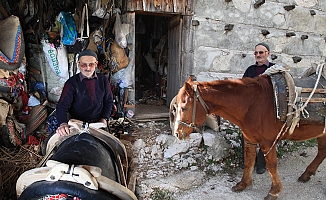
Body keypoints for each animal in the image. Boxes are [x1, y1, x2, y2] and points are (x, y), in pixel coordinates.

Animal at [174, 76, 326, 199]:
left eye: (184, 108)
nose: (177, 133)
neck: (253, 104)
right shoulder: (250, 140)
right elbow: (248, 162)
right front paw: (243, 184)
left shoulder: (267, 142)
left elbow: (271, 165)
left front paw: (274, 191)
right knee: (322, 152)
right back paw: (306, 174)